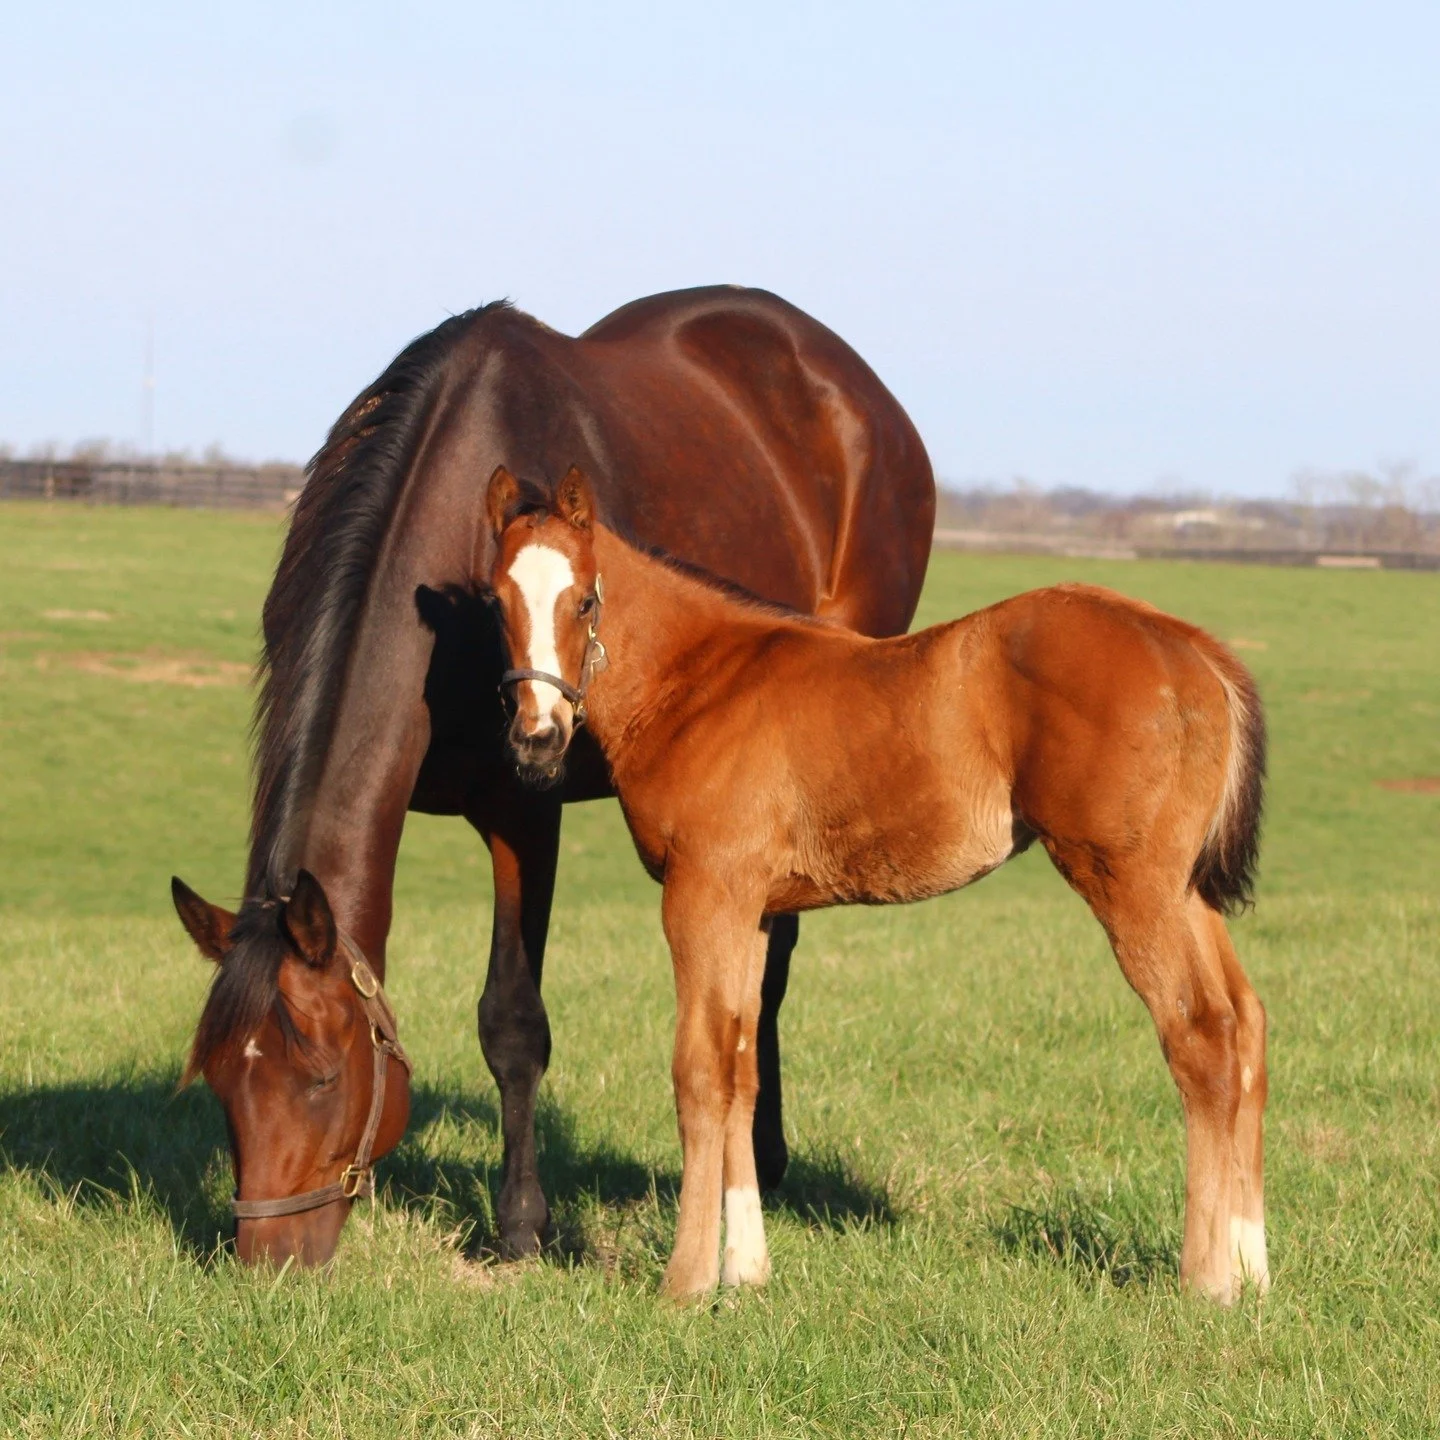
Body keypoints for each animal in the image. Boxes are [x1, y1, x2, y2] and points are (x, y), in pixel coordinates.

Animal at [169, 287, 935, 1265]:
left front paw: (521, 1225)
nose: (268, 1263)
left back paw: (763, 1161)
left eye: (323, 1076)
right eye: (222, 1082)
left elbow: (513, 1021)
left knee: (770, 972)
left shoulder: (523, 811)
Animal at [482, 463, 1269, 1303]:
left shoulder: (703, 894)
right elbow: (741, 1065)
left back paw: (1206, 1279)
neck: (701, 682)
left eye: (583, 600)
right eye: (498, 601)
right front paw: (747, 1271)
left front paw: (687, 1280)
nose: (536, 741)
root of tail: (1190, 646)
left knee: (1201, 1035)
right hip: (1186, 890)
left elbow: (698, 1069)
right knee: (1245, 1022)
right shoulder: (754, 910)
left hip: (1131, 884)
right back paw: (1253, 1270)